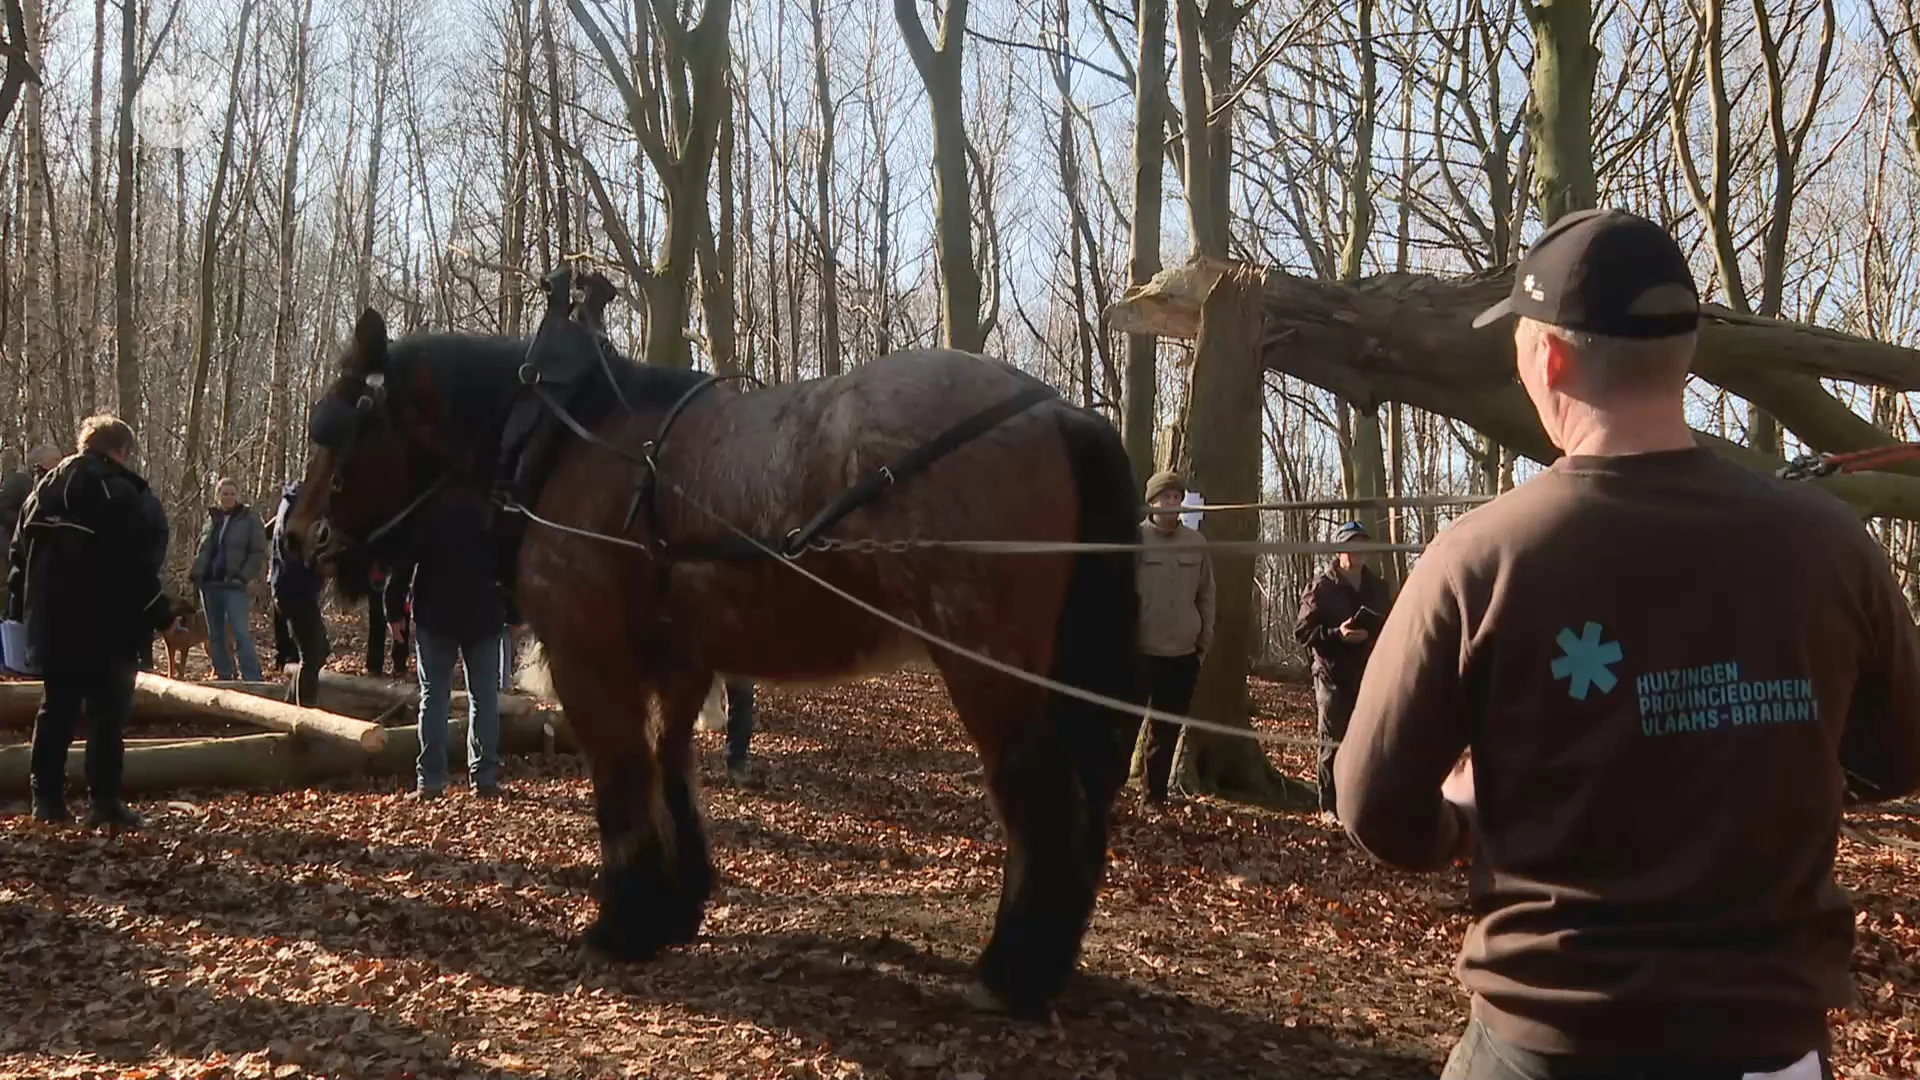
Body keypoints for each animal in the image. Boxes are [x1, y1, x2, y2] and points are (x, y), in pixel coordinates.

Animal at [288, 284, 1136, 1006]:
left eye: (334, 427)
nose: (295, 538)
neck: (559, 441)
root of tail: (1061, 411)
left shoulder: (588, 658)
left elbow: (622, 783)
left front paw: (623, 923)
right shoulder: (681, 664)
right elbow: (672, 773)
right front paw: (678, 907)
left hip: (985, 662)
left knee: (1038, 796)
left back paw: (1011, 972)